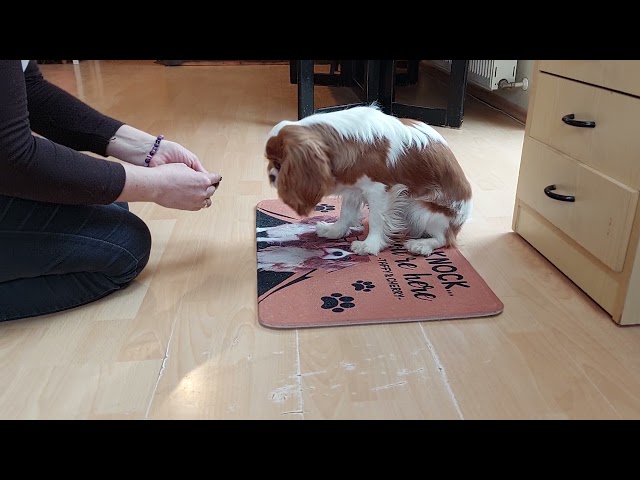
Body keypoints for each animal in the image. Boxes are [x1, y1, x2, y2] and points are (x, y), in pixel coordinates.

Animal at [262, 103, 472, 256]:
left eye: (279, 164)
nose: (271, 176)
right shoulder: (354, 188)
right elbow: (345, 213)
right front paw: (335, 231)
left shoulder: (380, 190)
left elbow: (377, 219)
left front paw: (370, 245)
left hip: (421, 209)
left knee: (445, 239)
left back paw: (421, 245)